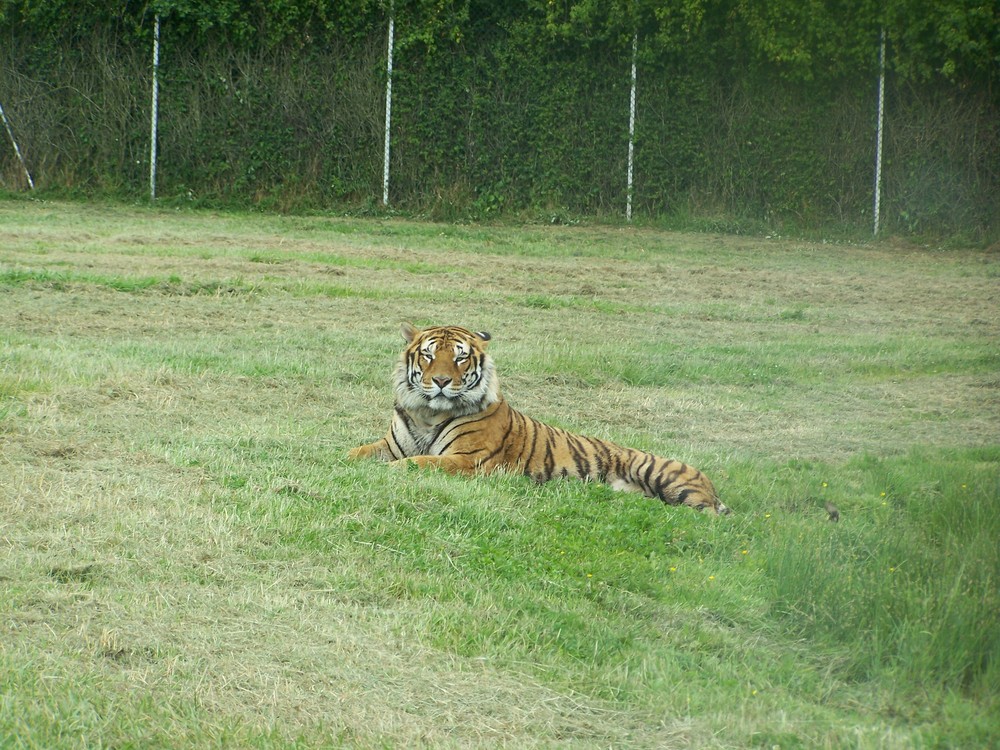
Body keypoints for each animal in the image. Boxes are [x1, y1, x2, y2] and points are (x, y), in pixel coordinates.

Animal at [348, 324, 732, 516]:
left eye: (459, 358)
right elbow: (356, 453)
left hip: (660, 474)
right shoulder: (390, 445)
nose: (441, 381)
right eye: (428, 355)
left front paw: (389, 472)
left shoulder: (468, 461)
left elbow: (417, 463)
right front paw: (340, 461)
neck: (428, 411)